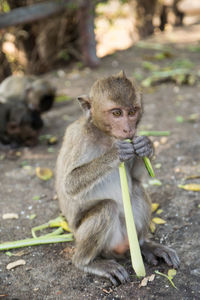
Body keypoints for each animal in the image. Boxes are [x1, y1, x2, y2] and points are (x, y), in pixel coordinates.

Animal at [55, 71, 180, 286]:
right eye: (116, 113)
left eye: (132, 112)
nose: (128, 129)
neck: (105, 135)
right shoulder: (78, 137)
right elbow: (69, 184)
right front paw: (115, 154)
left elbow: (136, 175)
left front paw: (146, 145)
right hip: (94, 240)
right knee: (107, 207)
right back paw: (87, 262)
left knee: (137, 190)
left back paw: (144, 245)